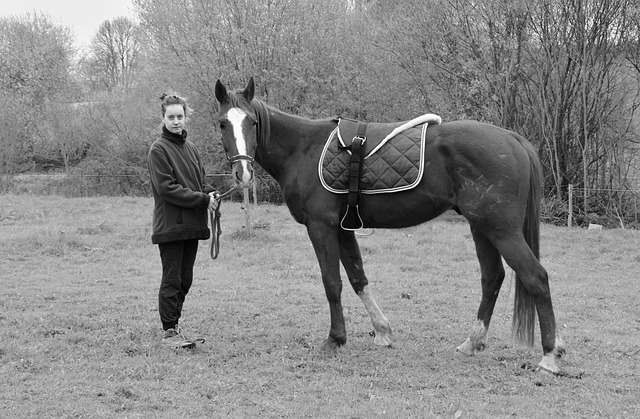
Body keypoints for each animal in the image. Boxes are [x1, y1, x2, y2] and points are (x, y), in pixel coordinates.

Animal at [214, 78, 564, 374]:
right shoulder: (343, 228)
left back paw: (548, 358)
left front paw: (335, 339)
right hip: (482, 228)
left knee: (536, 277)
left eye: (253, 122)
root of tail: (512, 139)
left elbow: (332, 283)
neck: (303, 148)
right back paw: (473, 342)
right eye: (222, 123)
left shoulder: (321, 226)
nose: (242, 173)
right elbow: (357, 278)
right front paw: (382, 332)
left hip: (500, 230)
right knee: (492, 278)